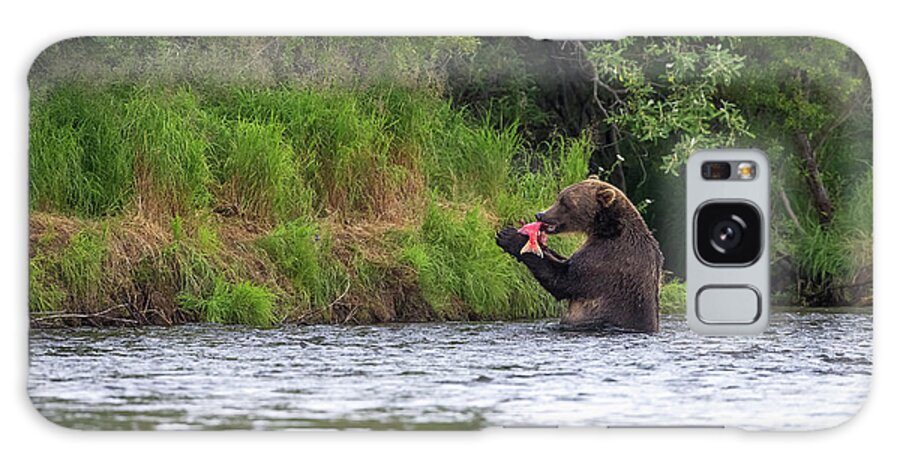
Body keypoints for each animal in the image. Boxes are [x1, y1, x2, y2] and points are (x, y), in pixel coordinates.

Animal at [496, 176, 664, 332]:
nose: (540, 214)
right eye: (558, 197)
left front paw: (510, 236)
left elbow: (564, 280)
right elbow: (565, 261)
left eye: (565, 203)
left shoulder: (606, 258)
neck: (606, 229)